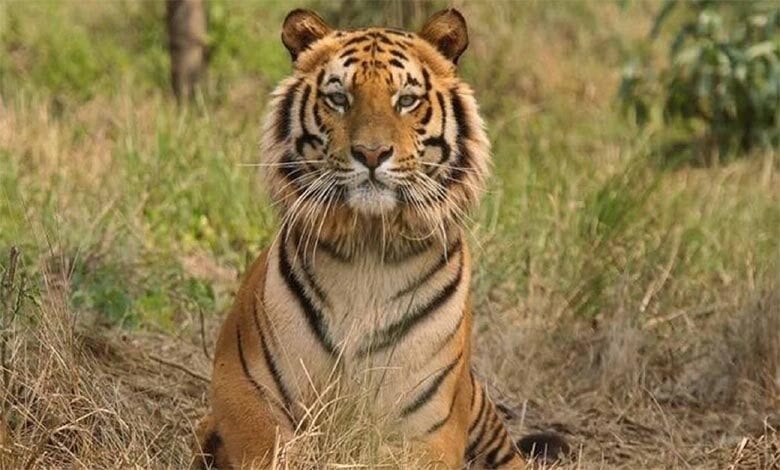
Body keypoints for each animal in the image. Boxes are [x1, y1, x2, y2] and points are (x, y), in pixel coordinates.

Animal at [194, 8, 567, 469]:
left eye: (406, 100)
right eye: (339, 98)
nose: (371, 154)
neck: (368, 250)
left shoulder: (429, 427)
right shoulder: (243, 390)